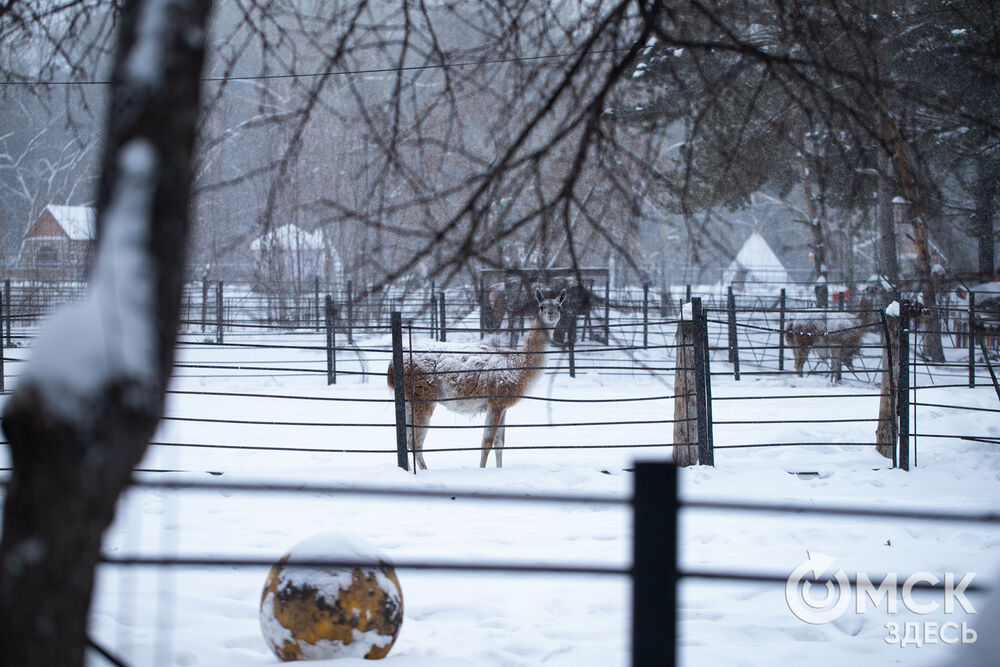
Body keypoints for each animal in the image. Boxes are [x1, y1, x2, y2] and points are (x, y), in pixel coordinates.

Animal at [388, 288, 568, 470]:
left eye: (559, 306)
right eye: (541, 306)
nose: (551, 313)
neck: (519, 364)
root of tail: (392, 365)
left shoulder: (503, 406)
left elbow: (500, 443)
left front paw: (499, 470)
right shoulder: (496, 402)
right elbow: (486, 442)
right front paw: (482, 471)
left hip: (409, 401)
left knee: (406, 439)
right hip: (423, 397)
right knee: (415, 443)